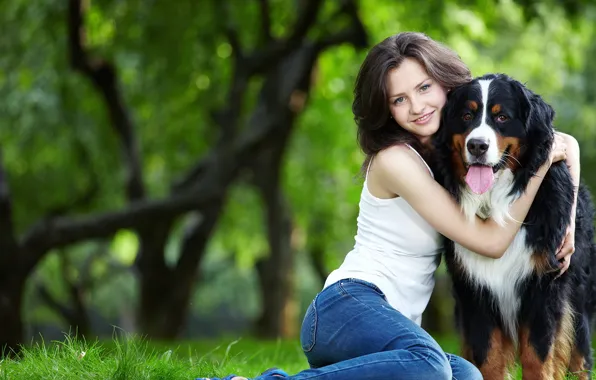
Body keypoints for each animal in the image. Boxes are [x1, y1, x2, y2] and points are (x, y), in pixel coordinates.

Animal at [430, 72, 596, 378]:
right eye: (466, 115)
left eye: (502, 117)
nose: (477, 145)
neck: (496, 202)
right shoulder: (476, 290)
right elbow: (488, 358)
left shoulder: (543, 285)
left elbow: (537, 356)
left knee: (580, 357)